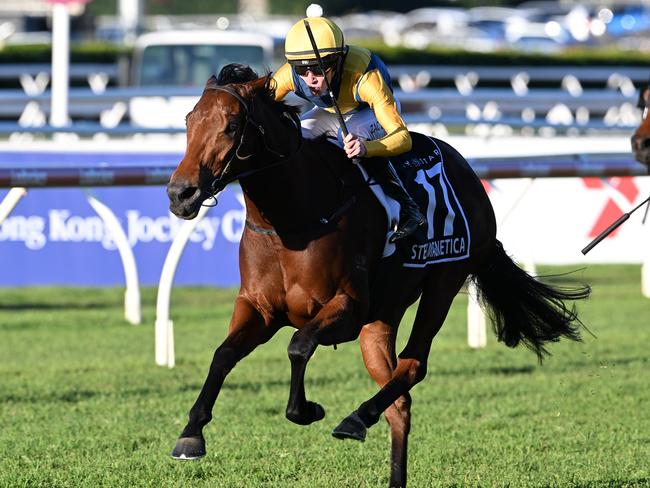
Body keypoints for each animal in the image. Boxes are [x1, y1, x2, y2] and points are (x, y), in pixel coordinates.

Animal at [163, 66, 588, 488]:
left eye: (232, 125)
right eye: (188, 120)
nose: (180, 194)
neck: (294, 219)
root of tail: (468, 173)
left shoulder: (348, 308)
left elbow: (298, 346)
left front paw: (308, 409)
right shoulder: (260, 308)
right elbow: (223, 354)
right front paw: (191, 434)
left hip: (444, 282)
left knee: (413, 365)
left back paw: (356, 417)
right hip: (382, 317)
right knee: (399, 400)